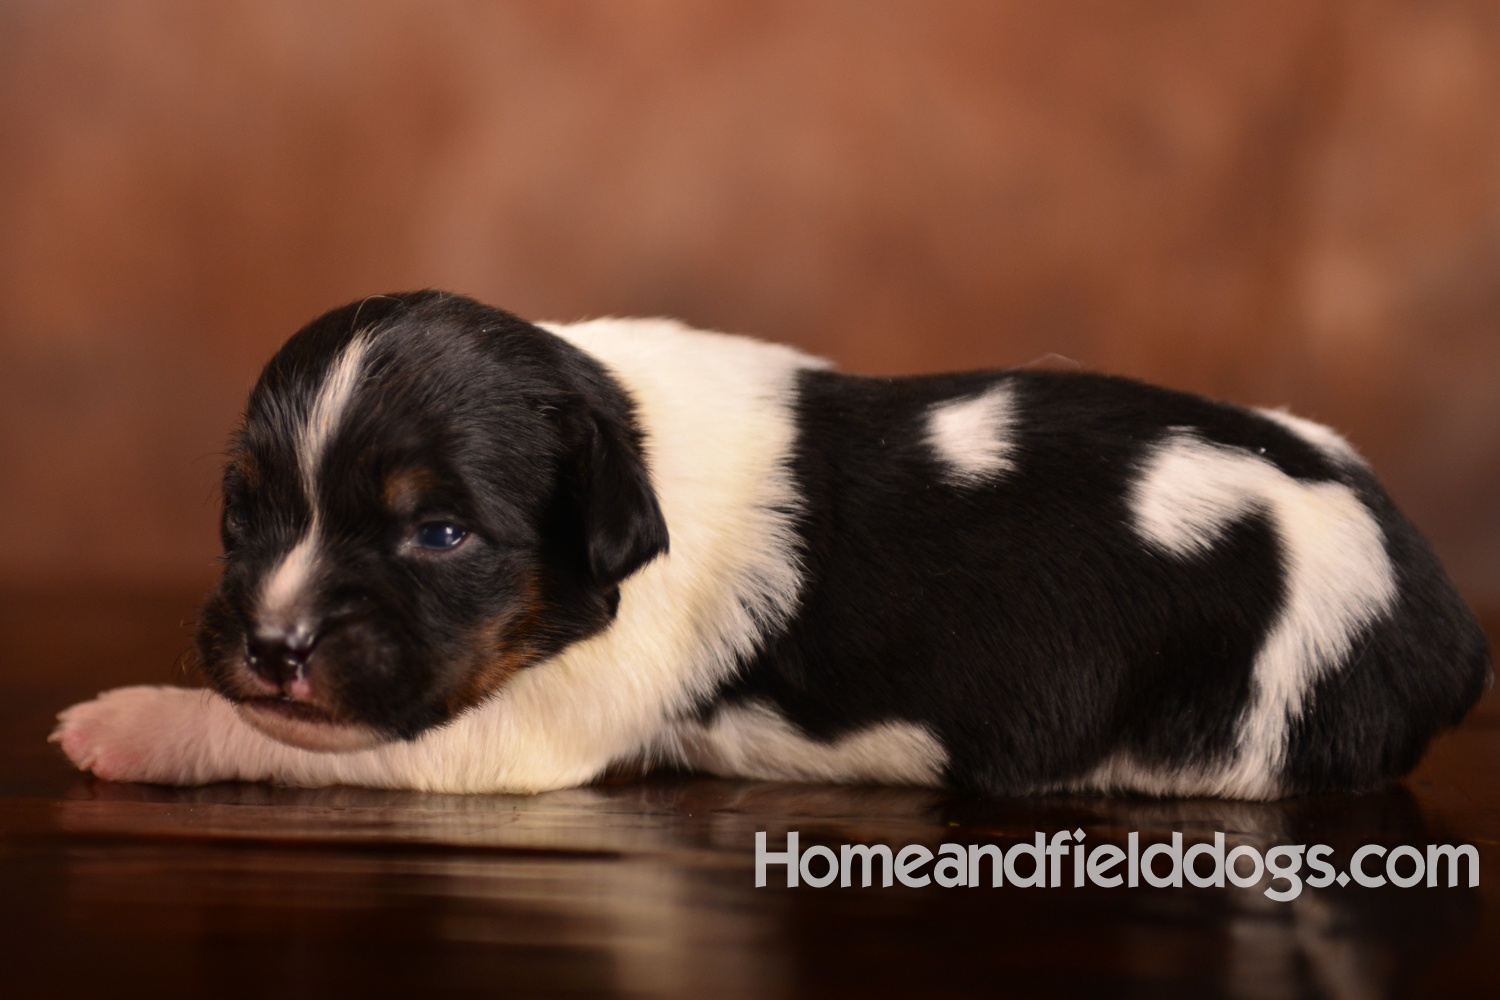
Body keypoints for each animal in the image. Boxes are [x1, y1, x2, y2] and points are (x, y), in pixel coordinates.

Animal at [52, 289, 1494, 797]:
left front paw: (127, 720)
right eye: (245, 512)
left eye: (441, 532)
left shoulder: (512, 736)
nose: (273, 642)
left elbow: (297, 737)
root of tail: (1442, 616)